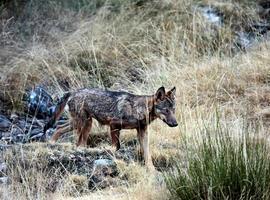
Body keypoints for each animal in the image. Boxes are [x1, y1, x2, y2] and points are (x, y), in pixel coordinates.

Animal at [43, 86, 178, 166]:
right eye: (166, 110)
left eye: (173, 110)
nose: (176, 124)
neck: (137, 109)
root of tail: (73, 91)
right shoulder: (113, 125)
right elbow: (116, 146)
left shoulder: (142, 132)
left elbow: (147, 154)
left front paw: (151, 170)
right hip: (80, 123)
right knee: (62, 130)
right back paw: (52, 143)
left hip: (84, 124)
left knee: (63, 131)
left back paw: (55, 143)